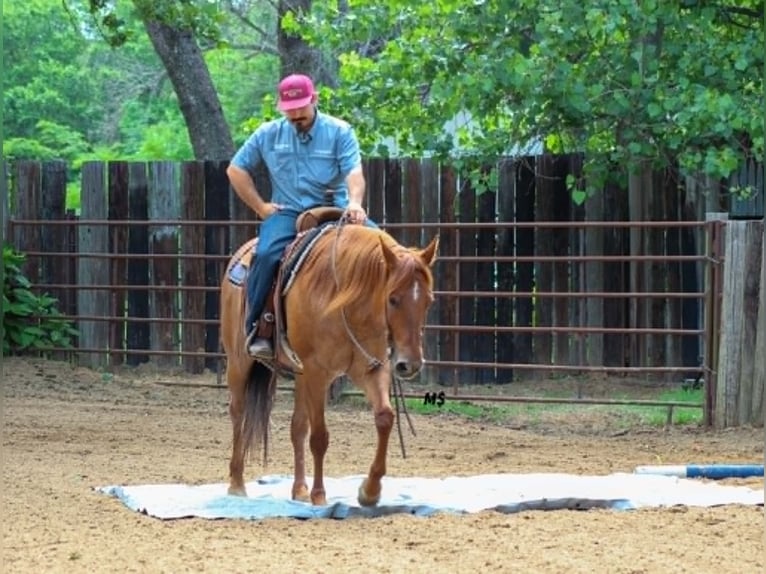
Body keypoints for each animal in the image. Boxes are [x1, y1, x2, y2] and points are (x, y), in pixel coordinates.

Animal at [220, 217, 438, 506]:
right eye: (393, 299)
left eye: (428, 301)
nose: (409, 364)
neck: (345, 298)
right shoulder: (316, 371)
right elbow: (320, 437)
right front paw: (319, 496)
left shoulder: (371, 368)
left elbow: (384, 417)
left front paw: (369, 491)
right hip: (239, 362)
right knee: (239, 412)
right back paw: (236, 484)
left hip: (299, 375)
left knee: (297, 427)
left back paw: (299, 490)